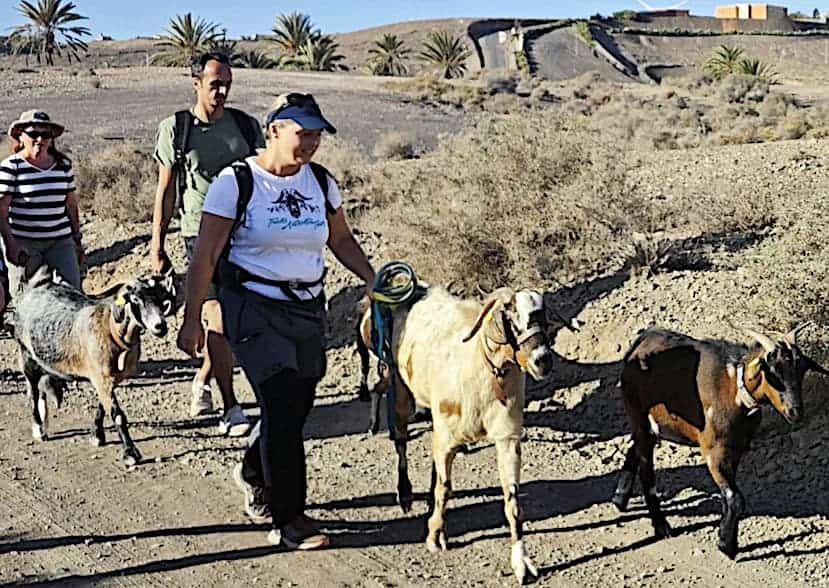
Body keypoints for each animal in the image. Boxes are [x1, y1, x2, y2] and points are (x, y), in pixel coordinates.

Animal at [13, 268, 175, 466]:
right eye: (135, 299)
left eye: (159, 298)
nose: (160, 326)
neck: (111, 330)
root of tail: (32, 290)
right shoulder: (100, 377)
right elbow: (117, 414)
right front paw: (130, 453)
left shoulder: (108, 379)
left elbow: (103, 407)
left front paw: (97, 435)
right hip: (25, 354)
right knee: (33, 392)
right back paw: (38, 429)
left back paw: (45, 420)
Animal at [366, 284, 552, 584]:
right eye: (511, 317)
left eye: (544, 316)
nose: (543, 361)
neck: (481, 366)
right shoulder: (447, 438)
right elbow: (446, 488)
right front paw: (435, 535)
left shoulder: (507, 436)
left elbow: (512, 501)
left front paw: (521, 562)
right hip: (401, 390)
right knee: (401, 437)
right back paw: (405, 493)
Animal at [616, 326, 828, 560]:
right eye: (772, 371)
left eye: (801, 371)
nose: (795, 412)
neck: (733, 388)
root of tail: (642, 341)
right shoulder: (714, 452)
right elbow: (735, 498)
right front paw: (727, 546)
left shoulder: (736, 448)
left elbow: (728, 497)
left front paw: (724, 536)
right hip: (638, 415)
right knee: (646, 471)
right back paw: (661, 526)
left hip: (654, 425)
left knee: (635, 448)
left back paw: (620, 498)